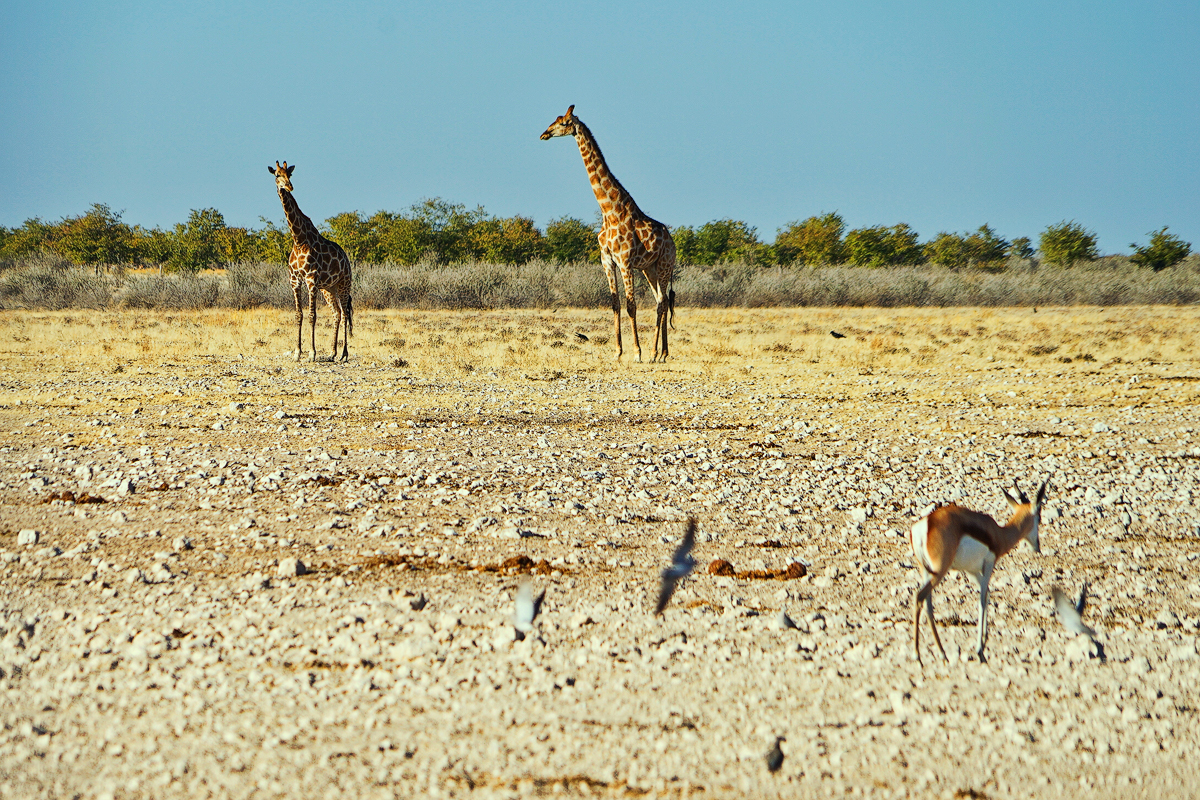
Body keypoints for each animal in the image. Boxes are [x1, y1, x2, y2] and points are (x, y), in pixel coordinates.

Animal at [267, 160, 350, 362]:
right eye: (277, 175)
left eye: (289, 174)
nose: (289, 186)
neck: (298, 240)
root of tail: (346, 258)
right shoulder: (295, 281)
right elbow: (299, 315)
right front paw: (297, 353)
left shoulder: (311, 280)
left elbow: (312, 315)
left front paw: (312, 353)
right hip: (329, 288)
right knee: (337, 313)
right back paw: (332, 352)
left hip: (344, 283)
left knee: (345, 314)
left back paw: (344, 354)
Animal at [542, 105, 676, 362]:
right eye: (555, 119)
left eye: (563, 123)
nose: (544, 134)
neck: (609, 210)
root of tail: (673, 244)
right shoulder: (607, 260)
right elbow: (615, 304)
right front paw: (617, 352)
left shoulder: (624, 261)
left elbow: (631, 305)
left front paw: (636, 353)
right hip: (650, 269)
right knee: (661, 300)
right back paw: (661, 353)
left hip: (665, 265)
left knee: (662, 303)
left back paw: (655, 353)